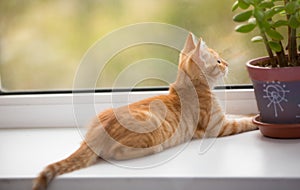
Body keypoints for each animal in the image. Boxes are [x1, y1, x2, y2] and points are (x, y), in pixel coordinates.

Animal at [32, 33, 258, 190]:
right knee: (116, 153)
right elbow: (242, 122)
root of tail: (93, 134)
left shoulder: (223, 119)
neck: (191, 86)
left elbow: (239, 116)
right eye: (218, 61)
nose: (227, 64)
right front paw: (256, 118)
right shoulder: (218, 126)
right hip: (148, 127)